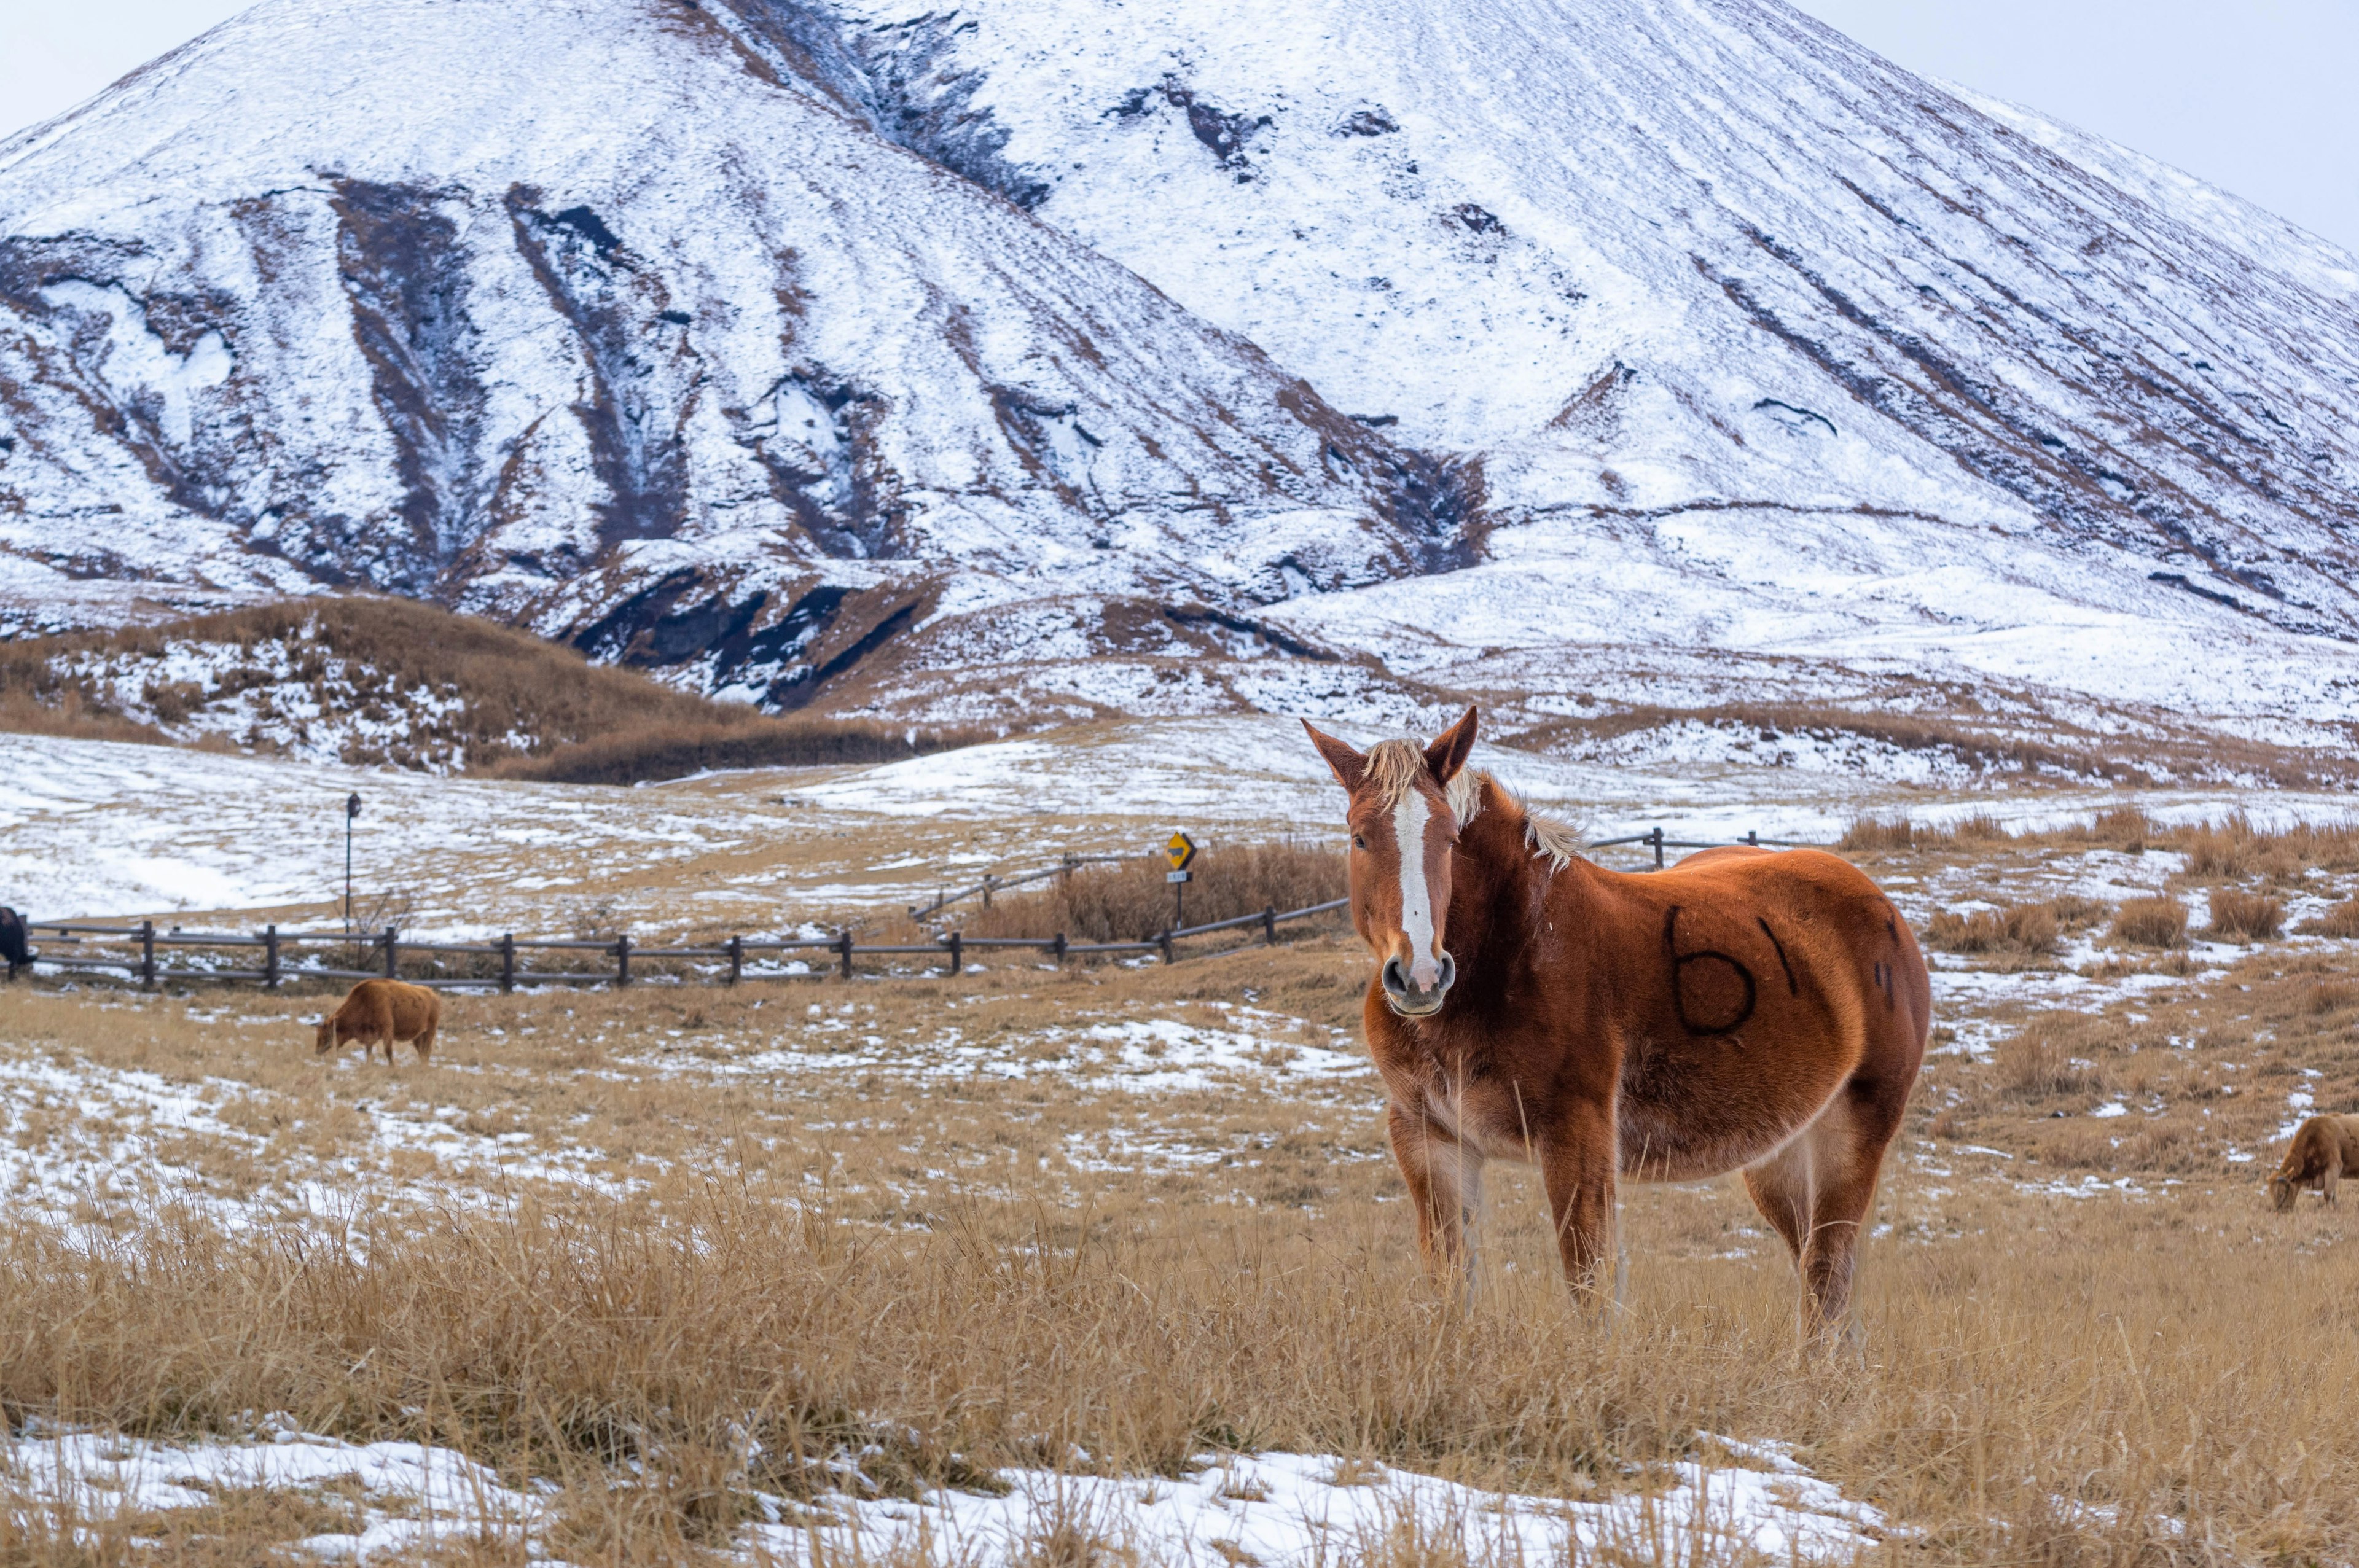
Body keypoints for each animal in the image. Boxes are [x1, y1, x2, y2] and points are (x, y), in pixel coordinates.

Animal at [316, 981, 441, 1066]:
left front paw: (392, 1066)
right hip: (417, 1037)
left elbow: (388, 1050)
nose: (318, 1051)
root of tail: (433, 995)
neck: (365, 1001)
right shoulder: (369, 1035)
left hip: (429, 1032)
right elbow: (369, 1051)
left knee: (426, 1051)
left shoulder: (387, 1030)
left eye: (326, 1034)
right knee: (422, 1052)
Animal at [1312, 703, 1934, 1339]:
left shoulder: (1578, 1138)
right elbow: (1448, 1286)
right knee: (1825, 1280)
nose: (1420, 976)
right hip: (1779, 1156)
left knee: (1826, 1278)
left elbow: (1589, 1289)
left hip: (1853, 1132)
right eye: (1360, 837)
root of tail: (1880, 906)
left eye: (1449, 839)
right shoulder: (1429, 1140)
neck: (1517, 948)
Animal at [2264, 1113, 2359, 1207]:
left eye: (2281, 1194)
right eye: (2271, 1195)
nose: (2279, 1210)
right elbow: (2333, 1196)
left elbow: (2328, 1194)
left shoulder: (2333, 1167)